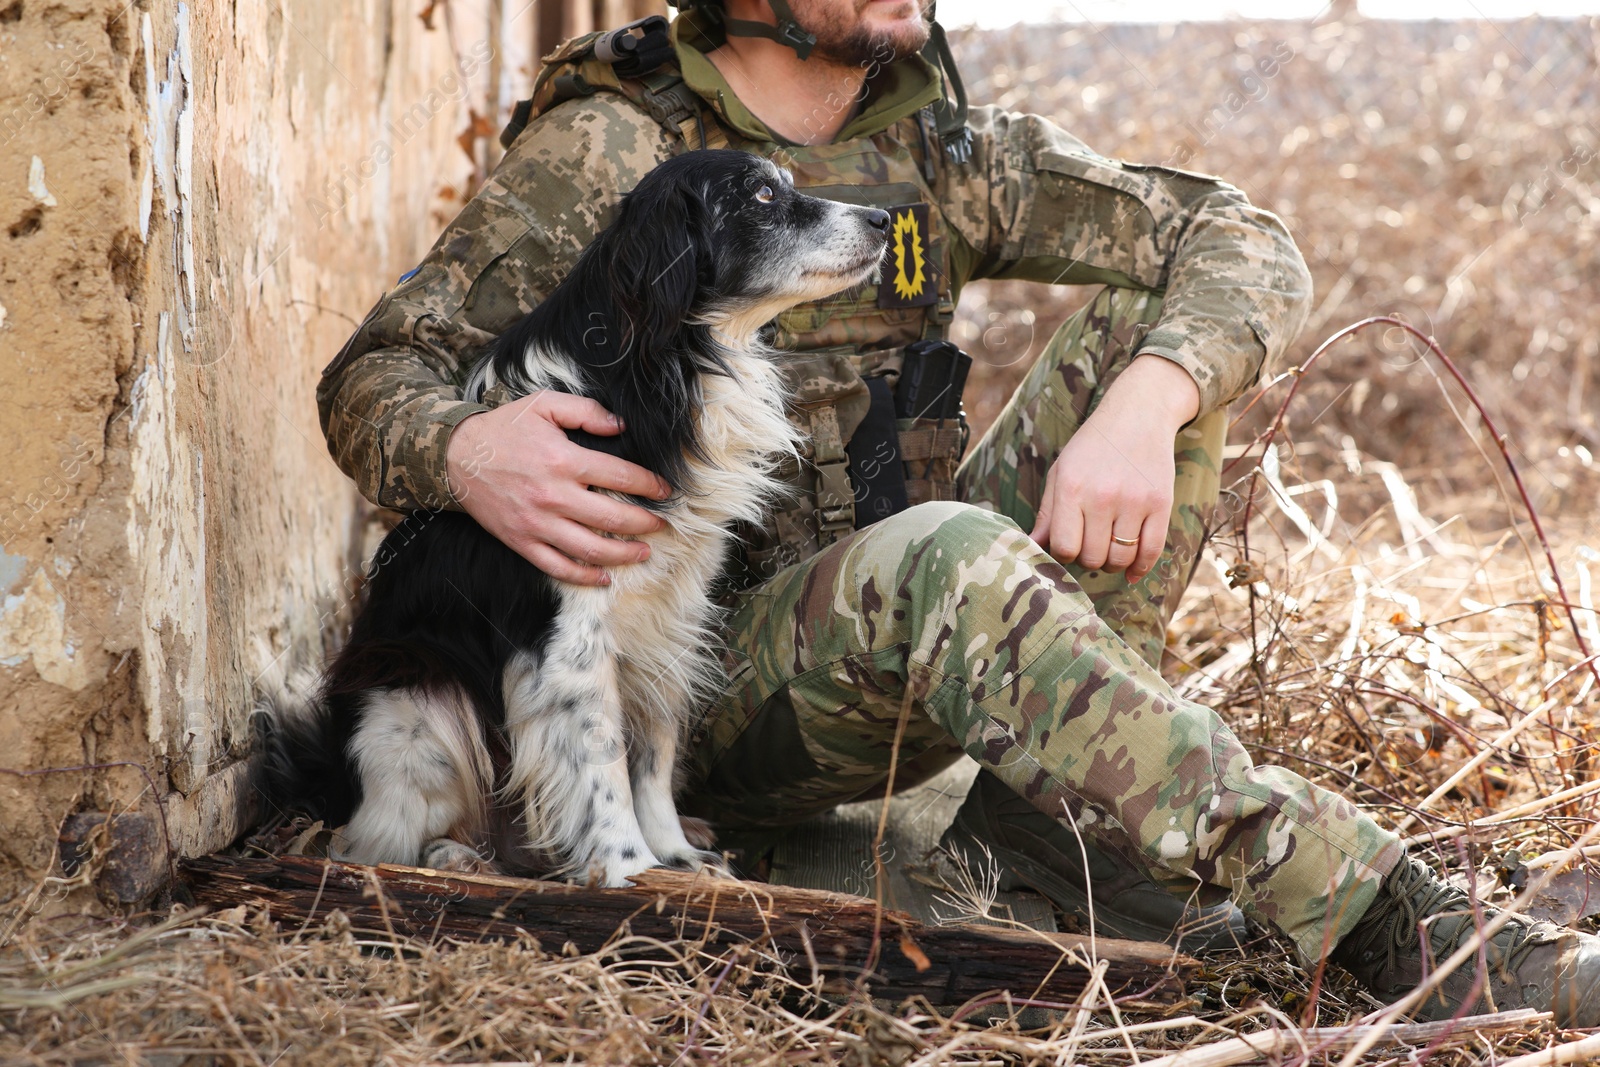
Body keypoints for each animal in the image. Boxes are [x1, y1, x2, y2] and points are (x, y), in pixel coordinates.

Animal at [256, 147, 896, 883]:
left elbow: (653, 752)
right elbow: (602, 762)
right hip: (414, 704)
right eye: (762, 195)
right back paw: (453, 856)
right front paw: (630, 867)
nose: (883, 219)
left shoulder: (670, 619)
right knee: (370, 840)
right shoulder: (572, 639)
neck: (666, 364)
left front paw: (674, 853)